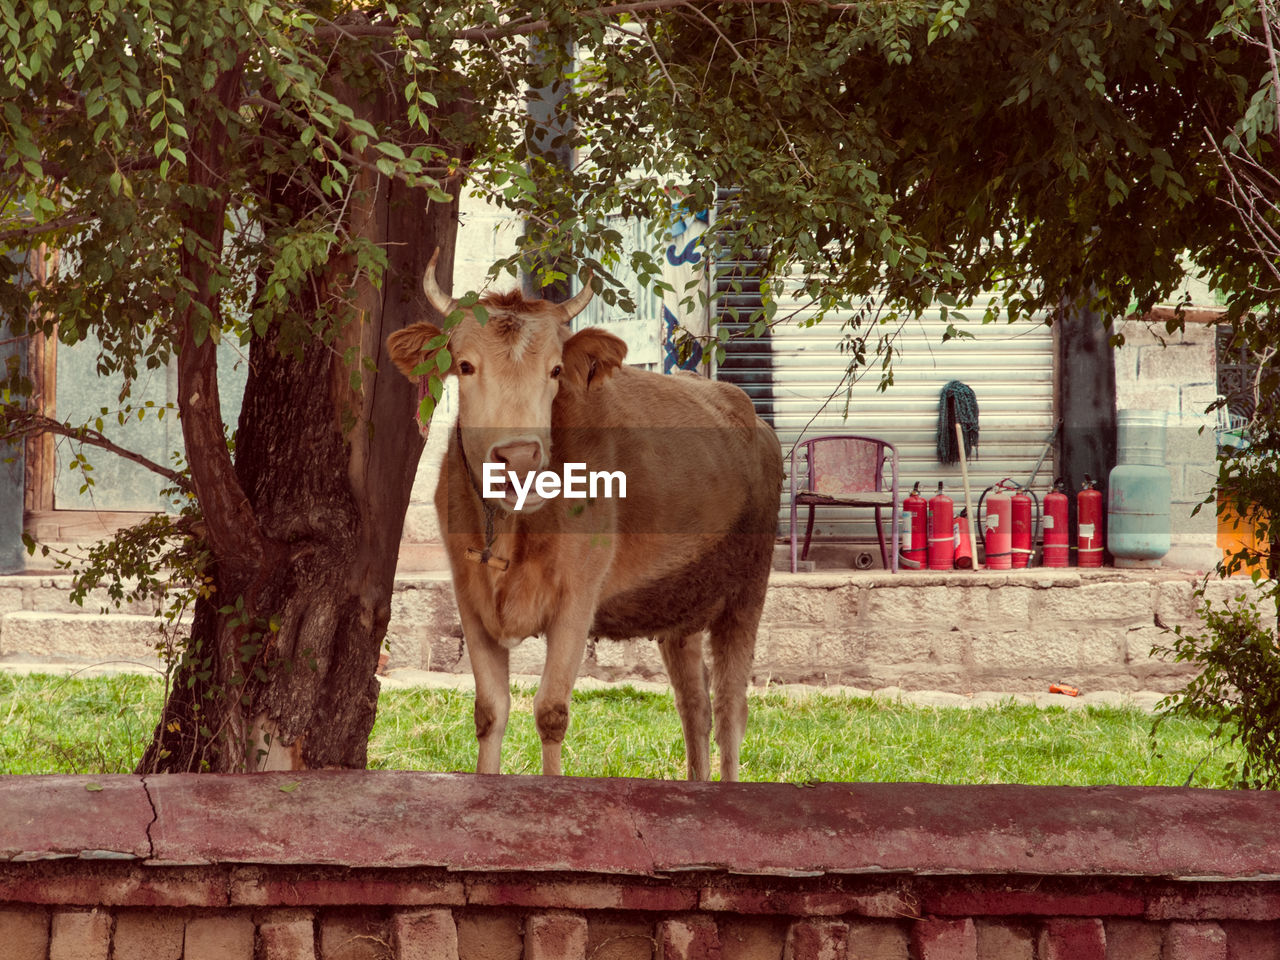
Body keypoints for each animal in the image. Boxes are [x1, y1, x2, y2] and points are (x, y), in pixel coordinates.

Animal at [384, 256, 783, 783]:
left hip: (745, 592)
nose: (519, 458)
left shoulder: (576, 599)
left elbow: (551, 711)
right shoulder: (470, 599)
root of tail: (751, 417)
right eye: (465, 366)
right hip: (680, 605)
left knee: (731, 710)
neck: (513, 527)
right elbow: (490, 712)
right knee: (693, 705)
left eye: (555, 370)